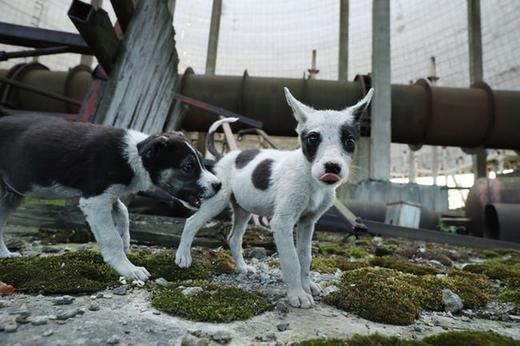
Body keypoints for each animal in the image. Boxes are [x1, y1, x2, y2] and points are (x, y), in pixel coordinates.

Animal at [0, 114, 220, 282]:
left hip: (10, 195)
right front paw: (128, 269)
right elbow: (110, 238)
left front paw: (125, 239)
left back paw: (5, 255)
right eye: (188, 166)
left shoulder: (109, 194)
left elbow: (123, 211)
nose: (218, 185)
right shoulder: (95, 200)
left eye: (202, 161)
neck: (135, 156)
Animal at [176, 88, 374, 308]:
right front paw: (298, 294)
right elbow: (291, 260)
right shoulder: (282, 222)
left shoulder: (308, 223)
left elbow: (304, 257)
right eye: (313, 139)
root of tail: (225, 156)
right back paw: (183, 257)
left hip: (243, 209)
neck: (311, 179)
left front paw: (307, 285)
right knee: (191, 222)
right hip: (216, 201)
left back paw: (242, 268)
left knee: (234, 238)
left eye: (349, 141)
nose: (332, 167)